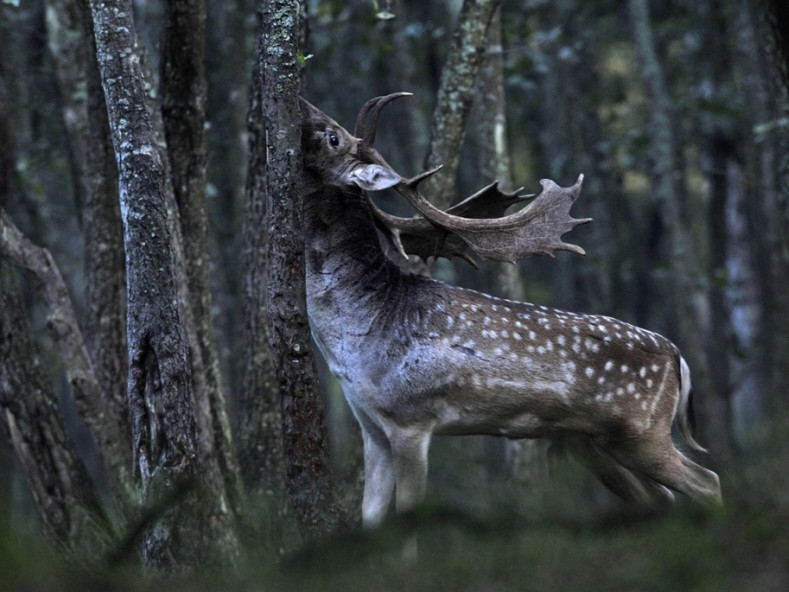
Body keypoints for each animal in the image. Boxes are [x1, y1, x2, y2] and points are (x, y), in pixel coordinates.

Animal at [298, 92, 720, 528]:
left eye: (332, 136)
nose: (303, 105)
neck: (356, 337)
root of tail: (677, 355)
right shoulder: (371, 426)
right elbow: (371, 517)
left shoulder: (411, 418)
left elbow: (408, 513)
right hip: (589, 442)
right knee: (660, 497)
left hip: (642, 429)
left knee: (708, 481)